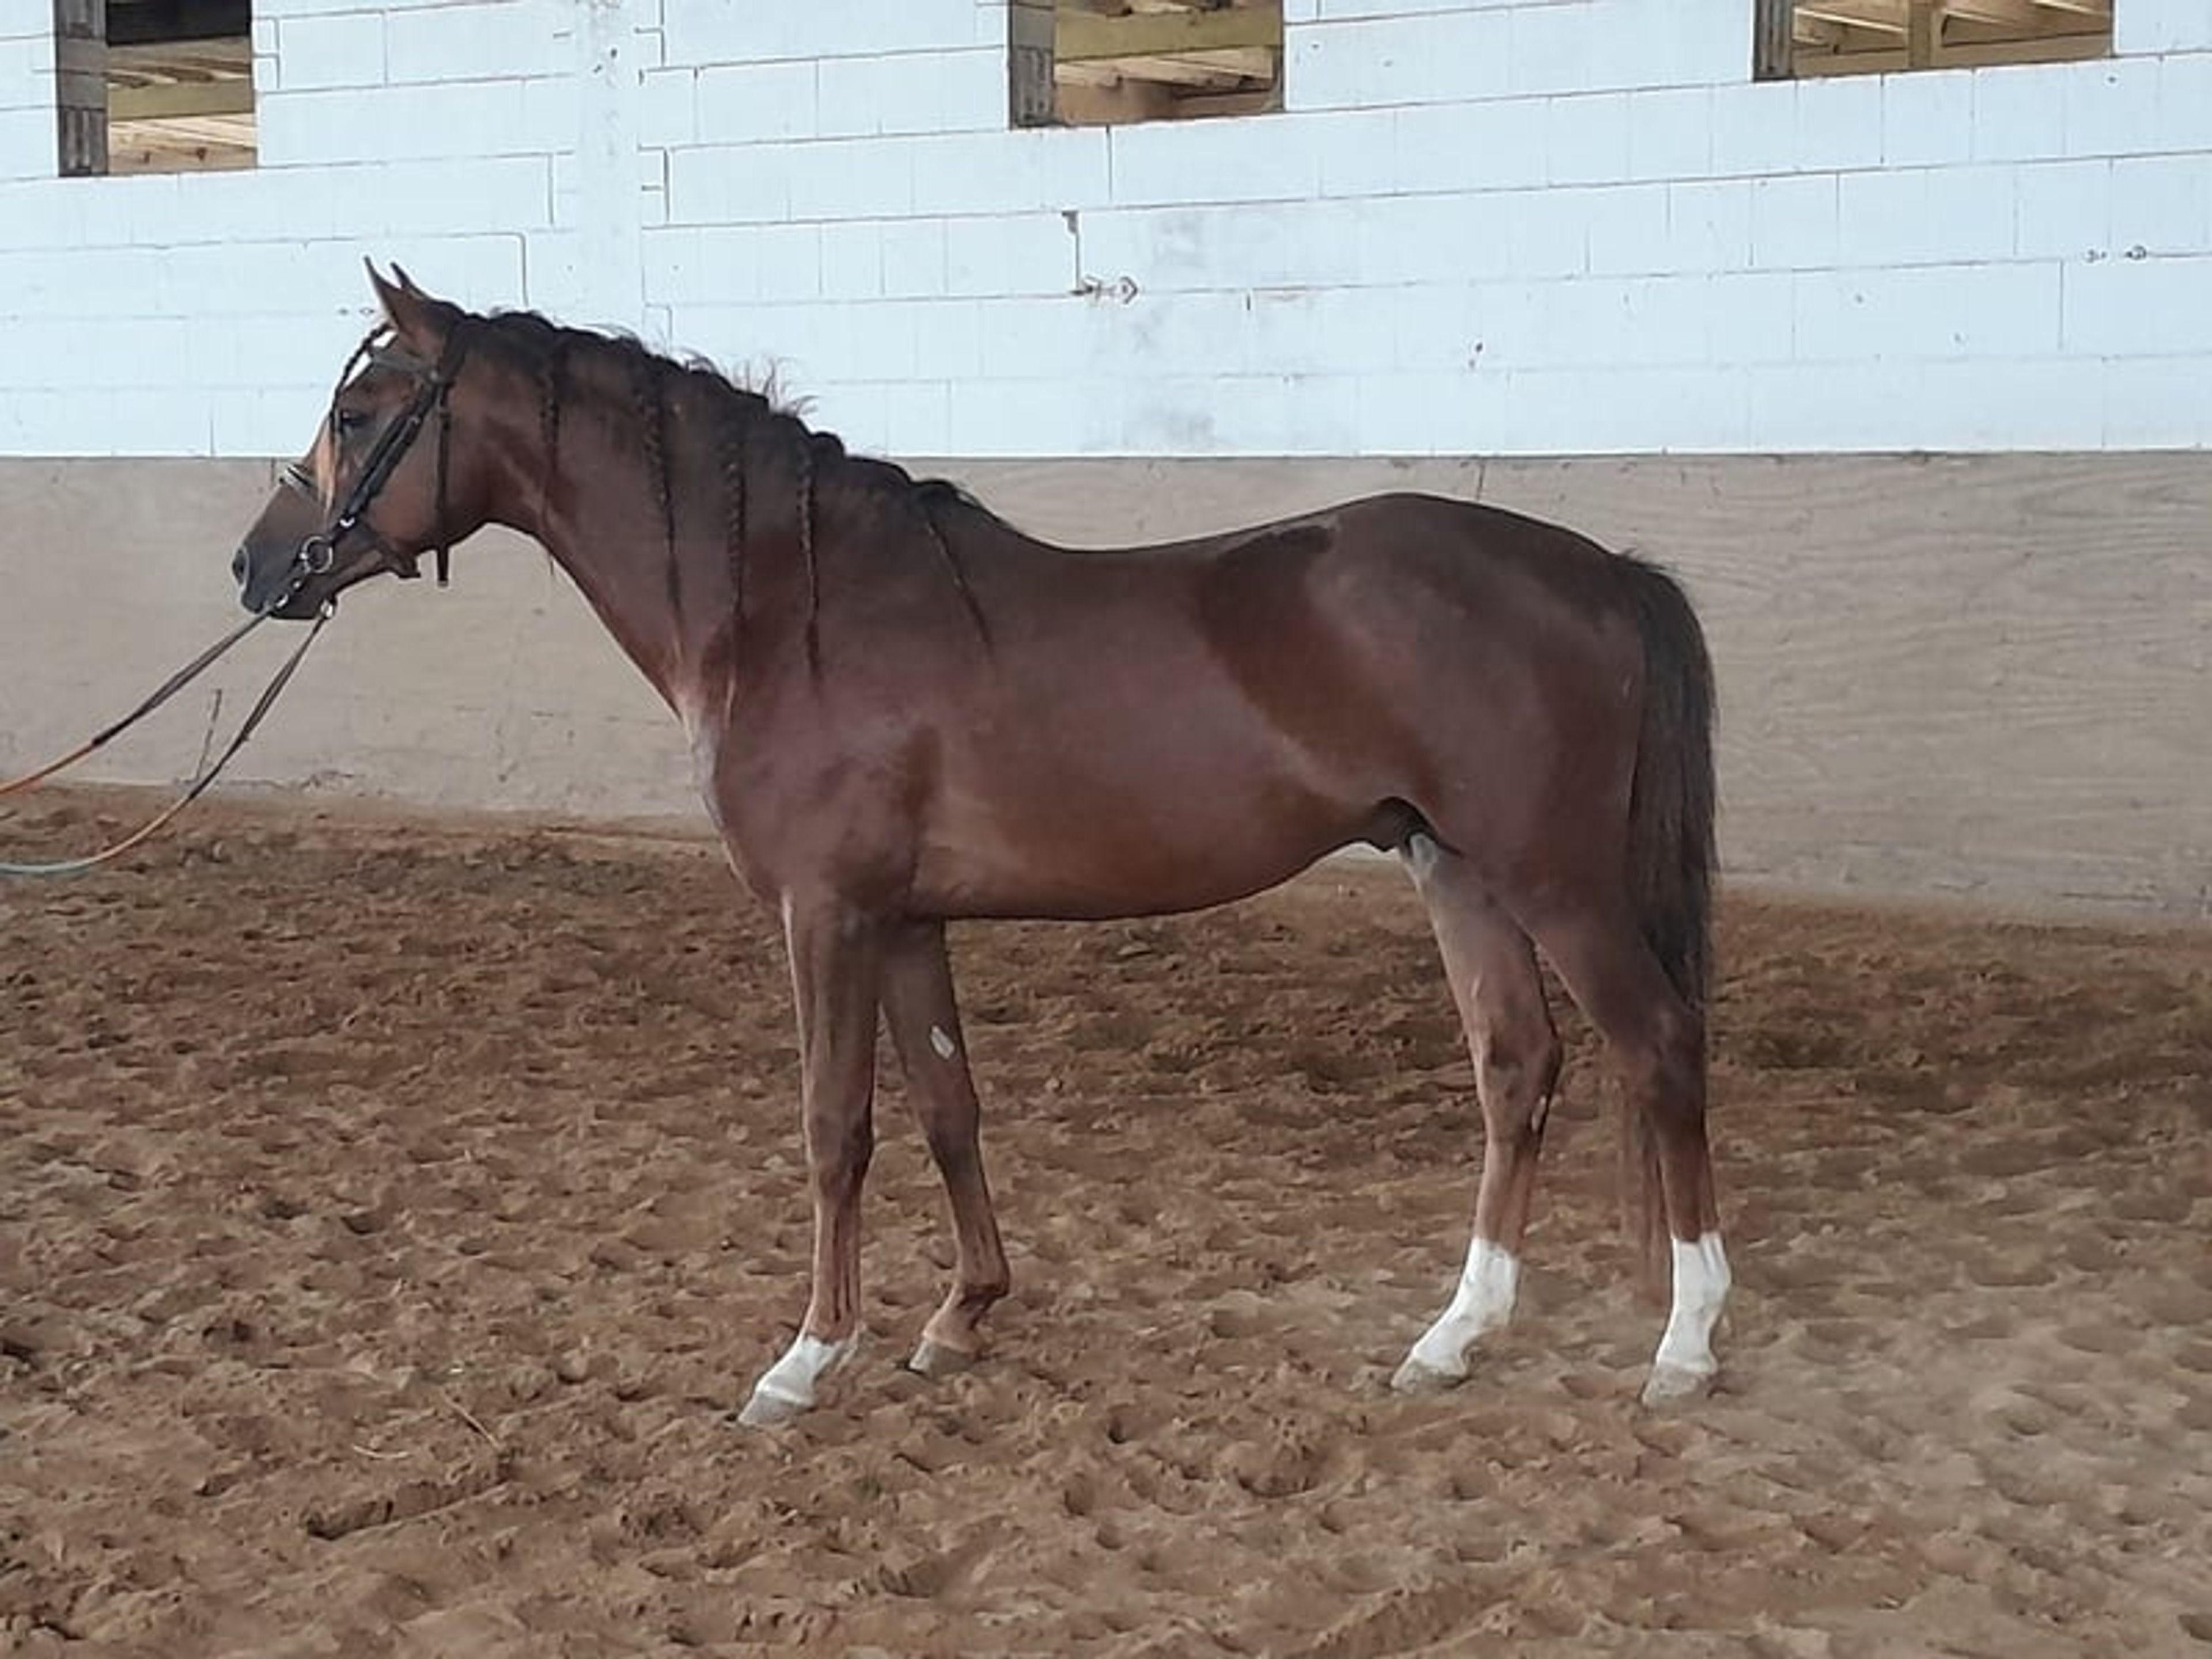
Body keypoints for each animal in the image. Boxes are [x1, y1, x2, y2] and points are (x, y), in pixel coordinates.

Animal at [231, 265, 1729, 1427]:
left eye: (358, 412)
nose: (257, 569)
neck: (789, 612)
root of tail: (1599, 569)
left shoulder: (825, 915)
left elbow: (834, 1126)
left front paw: (804, 1358)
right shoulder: (906, 921)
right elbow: (949, 1108)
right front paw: (961, 1315)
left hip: (1555, 881)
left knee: (1658, 1048)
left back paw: (1686, 1343)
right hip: (1455, 870)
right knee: (1515, 1067)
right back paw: (1453, 1337)